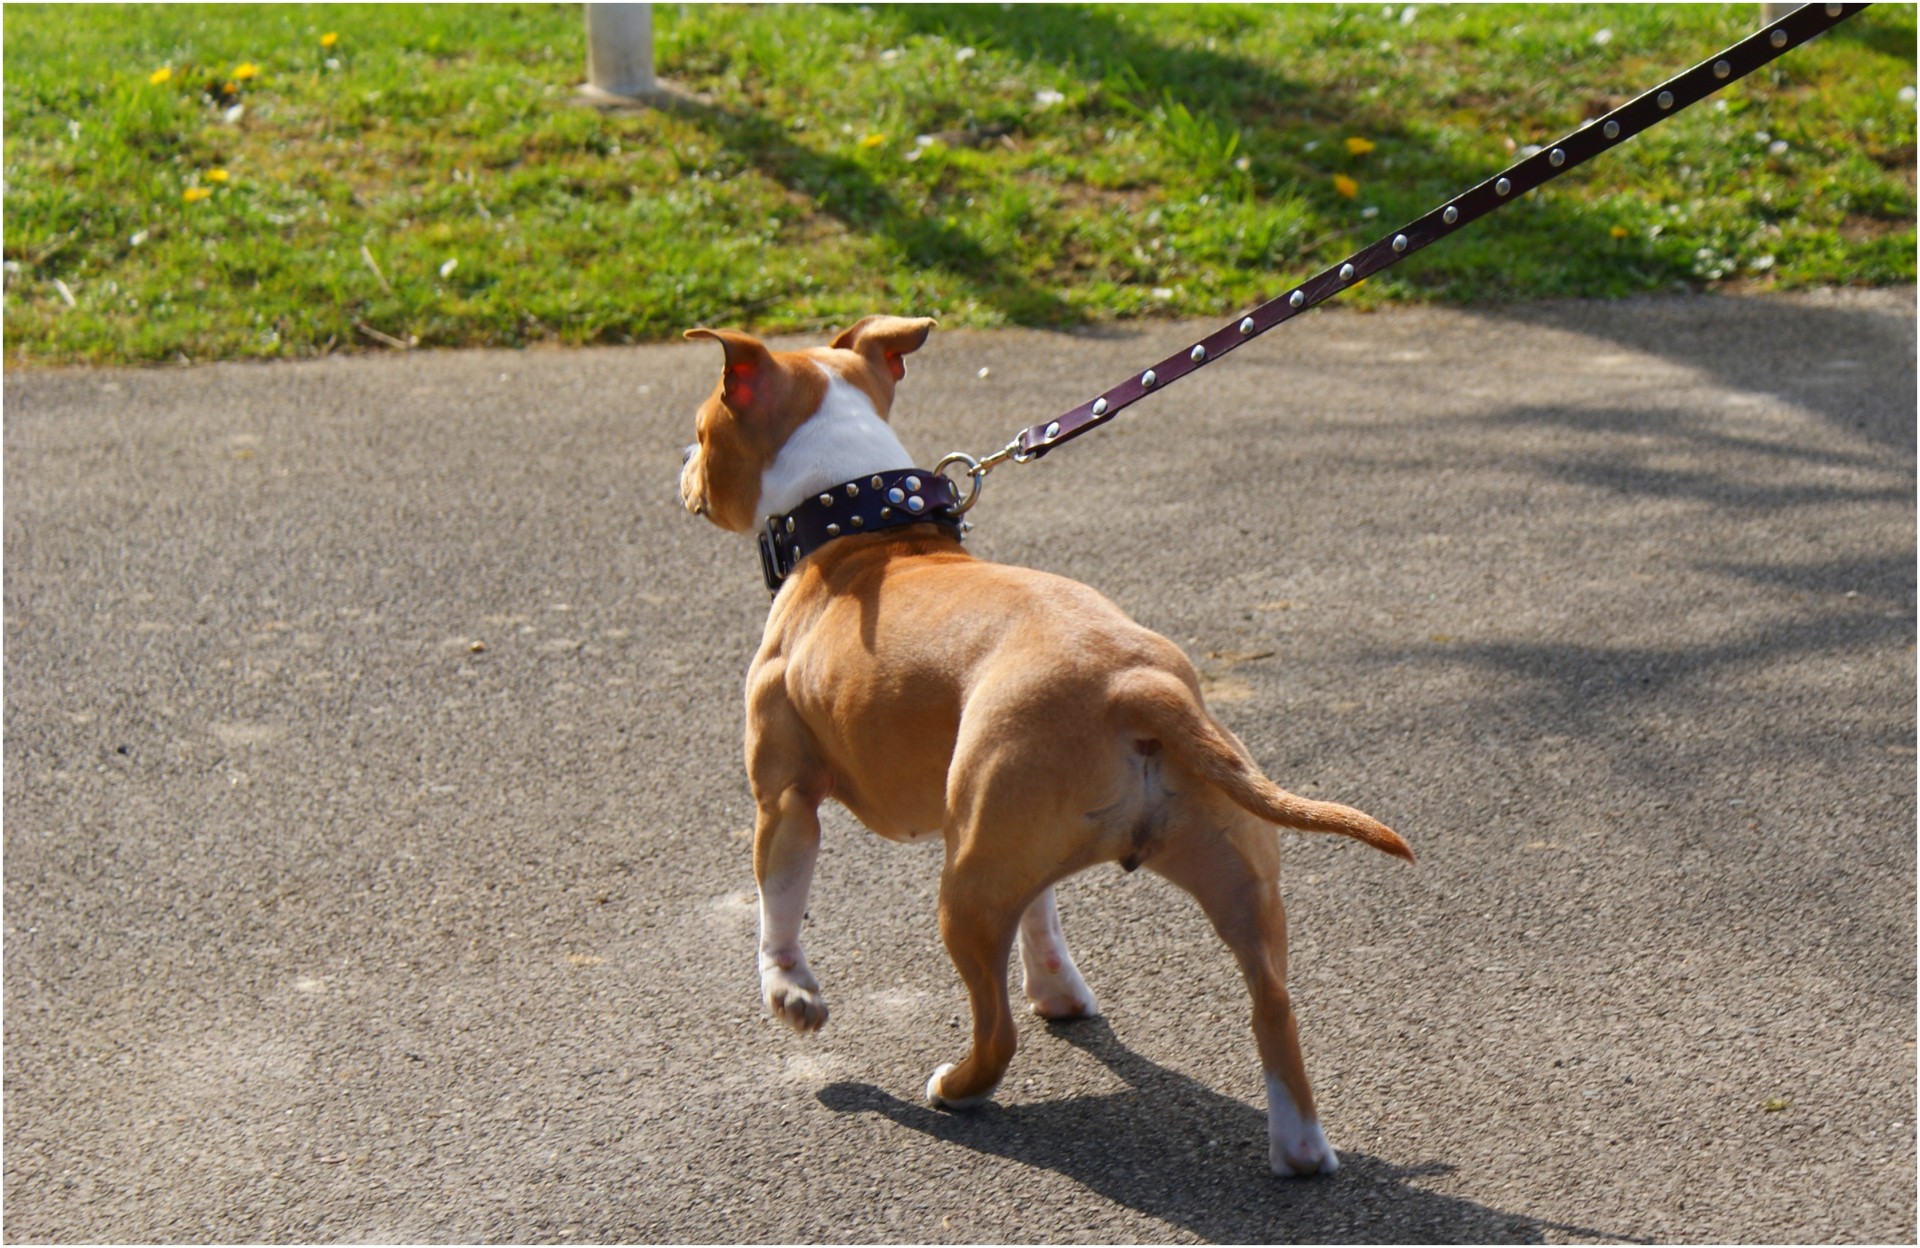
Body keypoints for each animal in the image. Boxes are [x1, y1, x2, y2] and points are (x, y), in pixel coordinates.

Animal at [675, 316, 1413, 1175]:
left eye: (703, 430)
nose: (683, 464)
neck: (864, 523)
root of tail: (1137, 685)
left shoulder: (784, 800)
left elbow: (778, 909)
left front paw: (790, 992)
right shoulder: (1016, 852)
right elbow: (1043, 914)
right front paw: (1058, 988)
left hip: (963, 891)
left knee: (995, 1033)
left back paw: (956, 1089)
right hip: (1228, 877)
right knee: (1273, 1008)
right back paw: (1299, 1149)